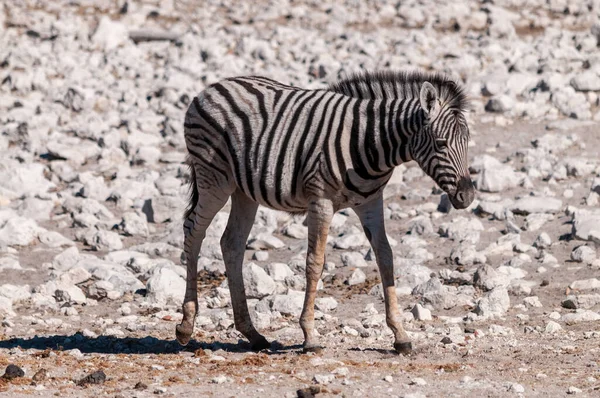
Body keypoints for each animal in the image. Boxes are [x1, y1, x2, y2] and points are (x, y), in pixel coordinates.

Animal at [176, 70, 476, 352]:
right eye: (441, 144)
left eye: (468, 141)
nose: (468, 196)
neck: (369, 141)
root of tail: (211, 87)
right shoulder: (320, 201)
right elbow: (315, 263)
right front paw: (310, 335)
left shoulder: (371, 201)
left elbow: (386, 257)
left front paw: (400, 335)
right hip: (214, 180)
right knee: (193, 232)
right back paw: (186, 326)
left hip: (244, 191)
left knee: (231, 244)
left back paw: (252, 334)